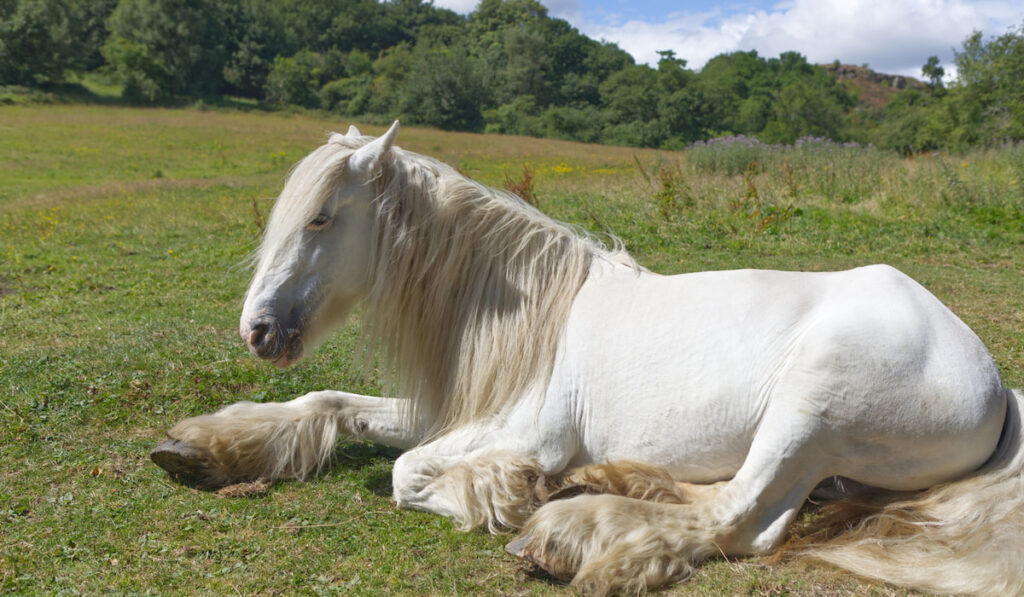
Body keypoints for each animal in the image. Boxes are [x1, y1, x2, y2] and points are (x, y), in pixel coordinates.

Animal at [151, 122, 1024, 597]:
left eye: (322, 218)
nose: (257, 329)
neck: (532, 318)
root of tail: (992, 378)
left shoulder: (521, 429)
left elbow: (406, 475)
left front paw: (505, 492)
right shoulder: (450, 411)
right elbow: (325, 404)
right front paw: (204, 445)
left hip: (812, 407)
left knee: (737, 515)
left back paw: (569, 528)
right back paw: (601, 485)